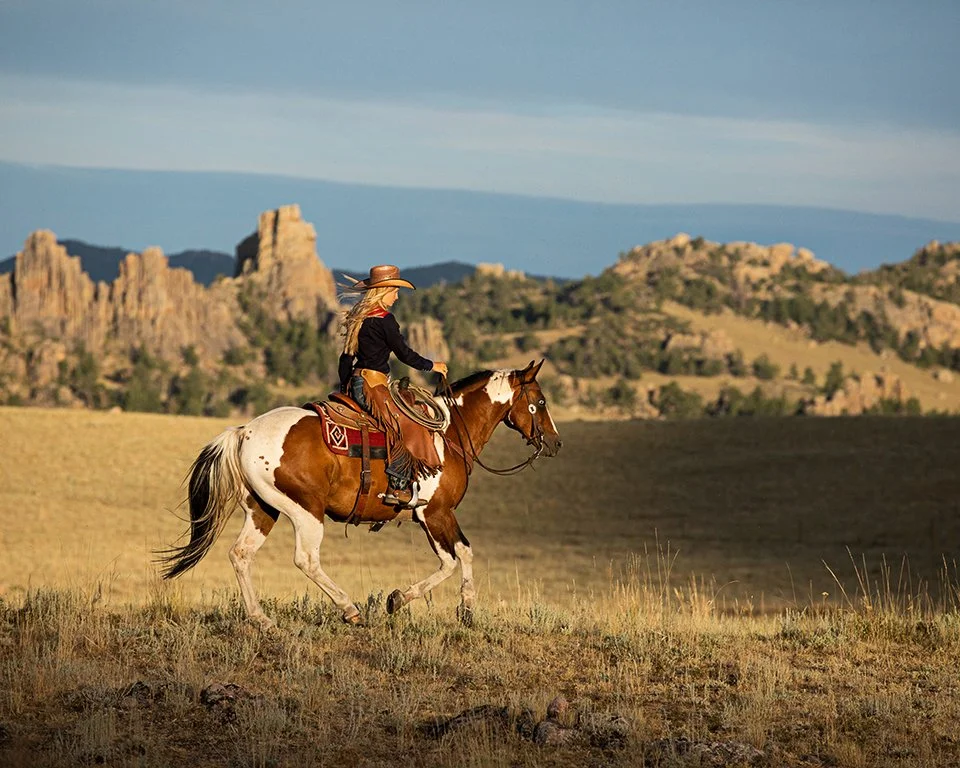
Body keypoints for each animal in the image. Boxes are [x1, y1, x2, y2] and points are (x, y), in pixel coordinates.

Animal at [157, 361, 562, 627]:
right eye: (540, 401)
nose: (556, 442)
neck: (448, 434)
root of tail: (244, 432)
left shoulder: (431, 515)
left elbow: (459, 554)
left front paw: (453, 606)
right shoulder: (435, 512)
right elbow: (455, 557)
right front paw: (417, 602)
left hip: (262, 509)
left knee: (241, 554)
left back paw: (261, 619)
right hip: (306, 510)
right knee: (306, 559)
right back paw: (349, 609)